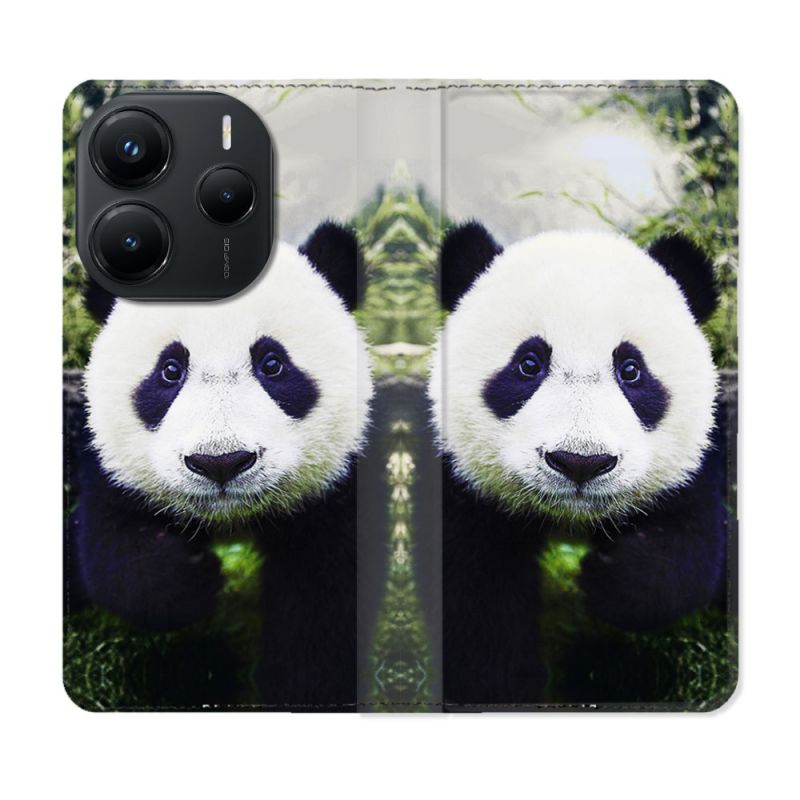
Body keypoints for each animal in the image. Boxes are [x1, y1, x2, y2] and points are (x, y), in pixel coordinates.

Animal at [67, 222, 373, 710]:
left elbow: (326, 606)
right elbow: (117, 554)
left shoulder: (337, 490)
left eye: (272, 364)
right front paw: (193, 578)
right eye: (170, 369)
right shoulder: (111, 467)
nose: (221, 463)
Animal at [428, 223, 727, 708]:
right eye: (528, 364)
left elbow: (687, 551)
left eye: (631, 369)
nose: (580, 463)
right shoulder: (463, 489)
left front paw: (609, 579)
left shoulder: (691, 466)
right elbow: (474, 606)